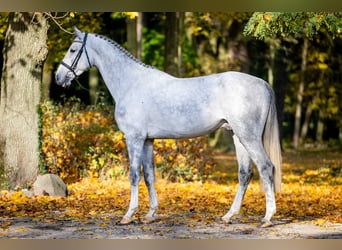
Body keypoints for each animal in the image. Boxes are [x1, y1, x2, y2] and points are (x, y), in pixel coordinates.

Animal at [55, 26, 280, 227]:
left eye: (73, 50)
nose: (58, 77)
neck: (131, 83)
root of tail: (263, 84)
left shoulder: (134, 138)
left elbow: (134, 174)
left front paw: (129, 215)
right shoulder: (147, 140)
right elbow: (149, 176)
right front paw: (150, 214)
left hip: (249, 137)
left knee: (266, 167)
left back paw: (267, 218)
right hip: (237, 136)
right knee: (245, 173)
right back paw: (228, 216)